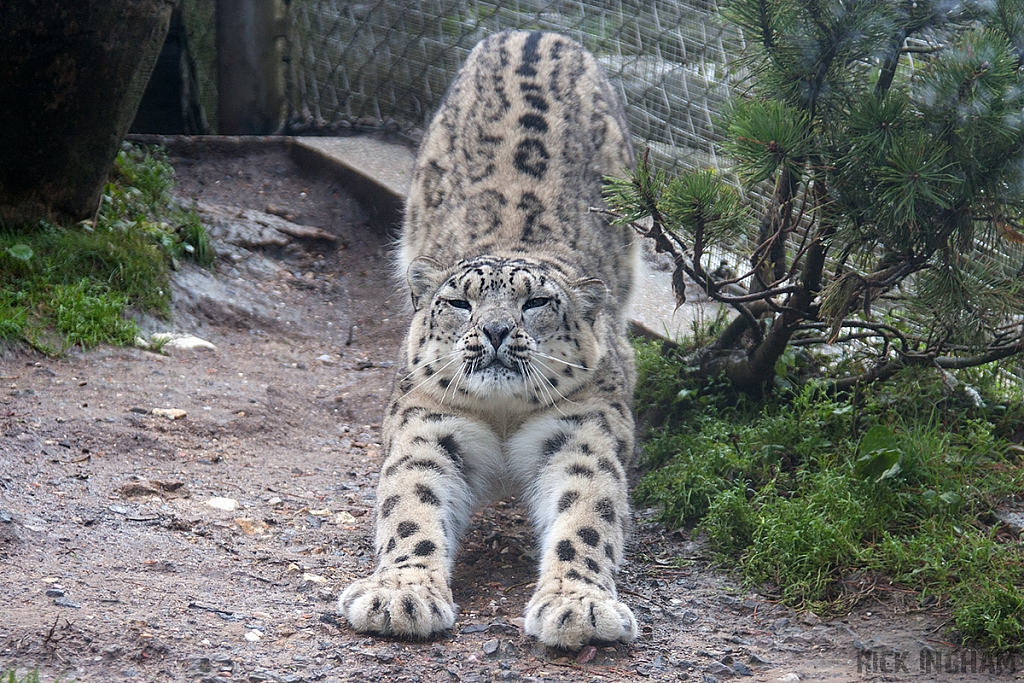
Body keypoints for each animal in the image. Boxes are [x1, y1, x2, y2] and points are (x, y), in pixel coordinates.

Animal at [339, 30, 634, 651]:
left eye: (536, 302)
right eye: (459, 303)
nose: (496, 330)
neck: (501, 418)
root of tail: (533, 32)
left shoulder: (583, 432)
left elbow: (586, 515)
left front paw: (579, 605)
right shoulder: (428, 426)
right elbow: (412, 506)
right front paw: (400, 596)